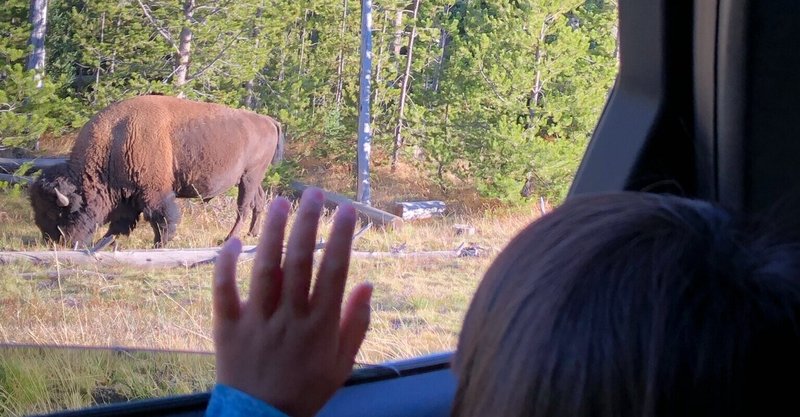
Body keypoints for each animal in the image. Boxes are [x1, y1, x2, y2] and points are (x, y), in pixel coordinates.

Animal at [30, 95, 284, 247]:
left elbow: (160, 217)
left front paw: (160, 243)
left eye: (58, 213)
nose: (53, 241)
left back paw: (228, 239)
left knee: (243, 207)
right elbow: (123, 220)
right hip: (252, 178)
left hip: (249, 177)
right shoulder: (128, 193)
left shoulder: (153, 191)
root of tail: (268, 120)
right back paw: (252, 234)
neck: (116, 138)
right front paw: (110, 239)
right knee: (258, 202)